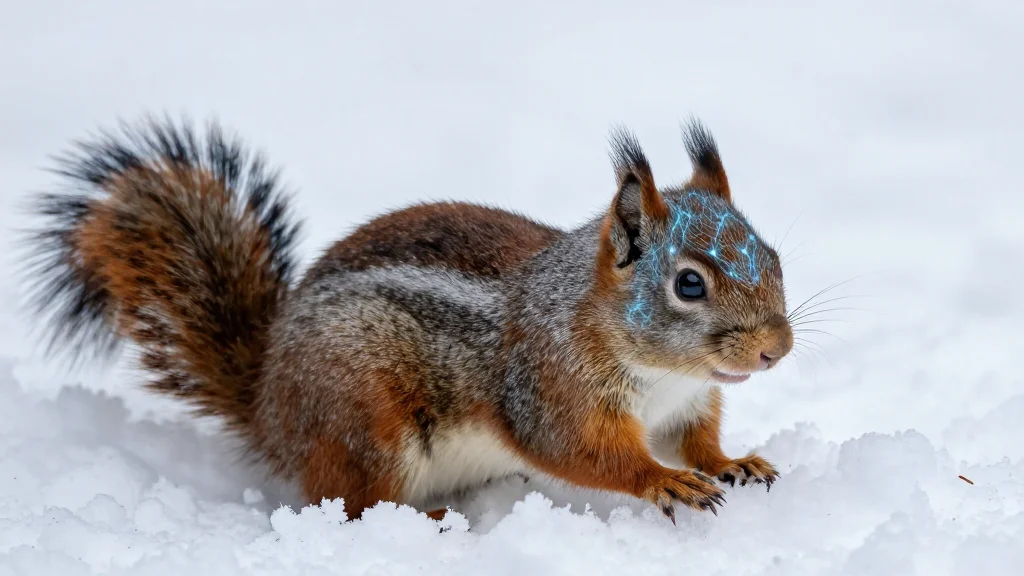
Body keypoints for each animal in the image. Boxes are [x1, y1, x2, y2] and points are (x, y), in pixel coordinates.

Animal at [21, 116, 793, 524]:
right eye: (688, 284)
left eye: (774, 254)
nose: (776, 351)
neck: (662, 371)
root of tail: (269, 410)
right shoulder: (550, 389)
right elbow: (588, 454)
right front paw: (663, 482)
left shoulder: (689, 403)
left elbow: (696, 441)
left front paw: (732, 462)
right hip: (363, 418)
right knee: (351, 500)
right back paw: (432, 520)